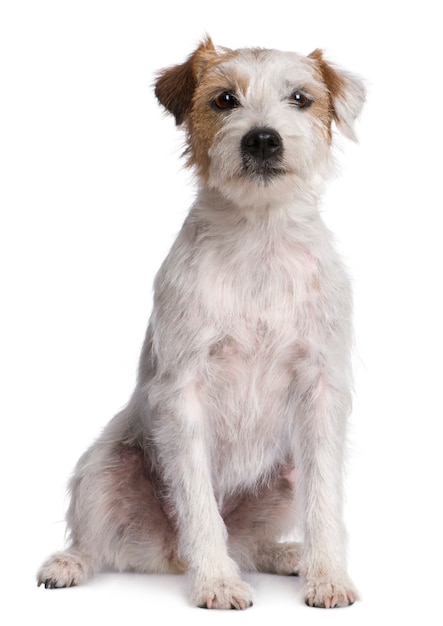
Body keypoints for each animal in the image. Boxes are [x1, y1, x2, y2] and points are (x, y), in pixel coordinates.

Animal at [37, 36, 364, 608]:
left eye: (300, 98)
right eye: (224, 99)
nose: (263, 139)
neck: (259, 237)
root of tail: (166, 555)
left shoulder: (322, 389)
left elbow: (324, 500)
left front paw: (328, 577)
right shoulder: (183, 392)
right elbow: (198, 502)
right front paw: (215, 581)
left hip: (285, 473)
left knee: (251, 544)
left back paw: (289, 555)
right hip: (102, 469)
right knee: (98, 543)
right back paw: (69, 564)